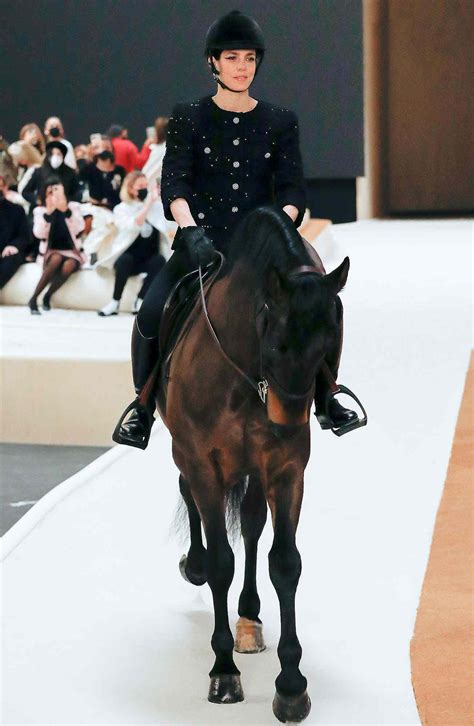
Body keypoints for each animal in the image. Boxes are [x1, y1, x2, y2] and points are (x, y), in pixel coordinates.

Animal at [156, 205, 348, 724]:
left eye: (330, 342)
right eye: (277, 342)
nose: (287, 422)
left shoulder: (284, 467)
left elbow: (283, 562)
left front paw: (291, 685)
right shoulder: (203, 459)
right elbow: (222, 560)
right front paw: (223, 672)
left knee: (250, 523)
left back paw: (248, 618)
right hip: (188, 451)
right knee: (191, 498)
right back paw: (196, 566)